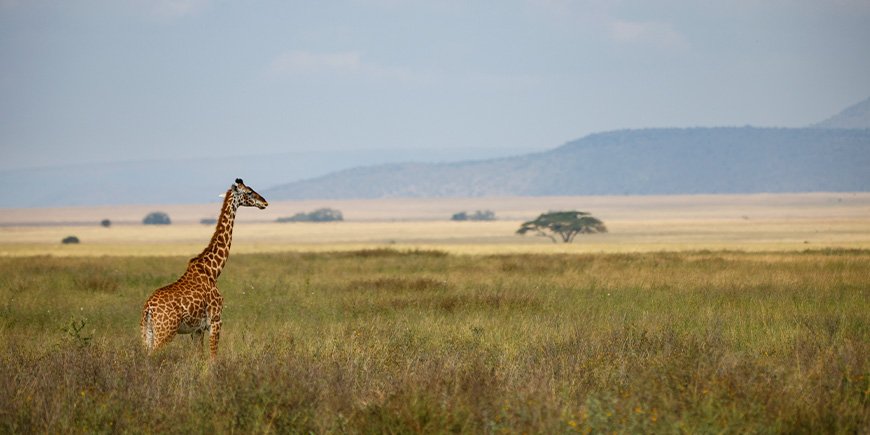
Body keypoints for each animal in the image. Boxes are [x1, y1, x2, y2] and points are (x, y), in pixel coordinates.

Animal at [141, 177, 270, 358]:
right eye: (249, 192)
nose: (265, 202)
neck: (212, 270)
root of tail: (148, 309)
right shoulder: (215, 321)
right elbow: (213, 357)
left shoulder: (198, 329)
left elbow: (199, 356)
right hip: (165, 332)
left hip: (147, 334)